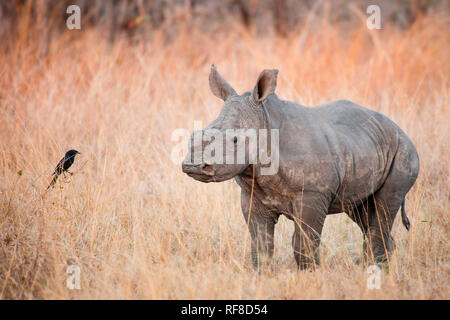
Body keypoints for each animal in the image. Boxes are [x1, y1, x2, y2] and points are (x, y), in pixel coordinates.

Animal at [181, 64, 420, 268]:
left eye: (235, 141)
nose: (193, 165)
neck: (265, 123)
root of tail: (398, 128)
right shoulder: (252, 194)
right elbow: (261, 243)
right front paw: (262, 274)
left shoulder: (313, 193)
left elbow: (304, 242)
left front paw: (309, 274)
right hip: (367, 144)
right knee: (363, 212)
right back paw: (374, 268)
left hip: (405, 152)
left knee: (382, 209)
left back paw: (374, 270)